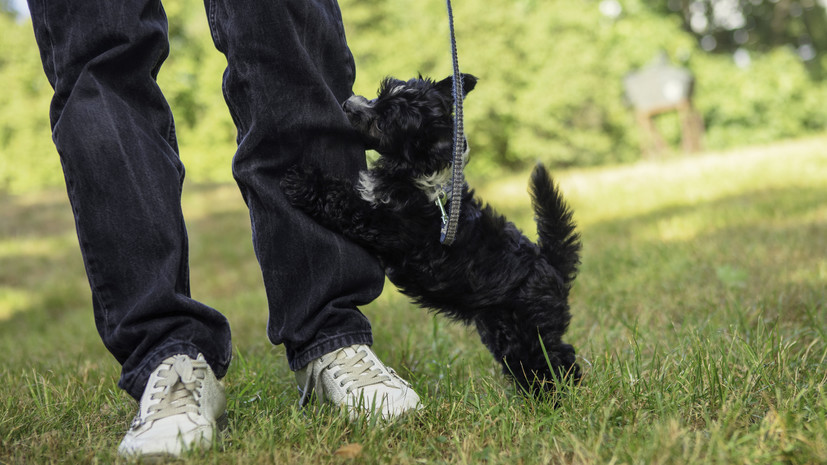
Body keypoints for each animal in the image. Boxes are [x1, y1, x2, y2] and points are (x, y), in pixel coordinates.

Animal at [284, 74, 584, 394]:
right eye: (379, 96)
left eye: (383, 123)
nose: (347, 104)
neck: (417, 175)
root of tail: (549, 264)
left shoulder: (386, 225)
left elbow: (345, 202)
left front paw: (303, 181)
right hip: (503, 327)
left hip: (526, 329)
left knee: (555, 358)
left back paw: (556, 397)